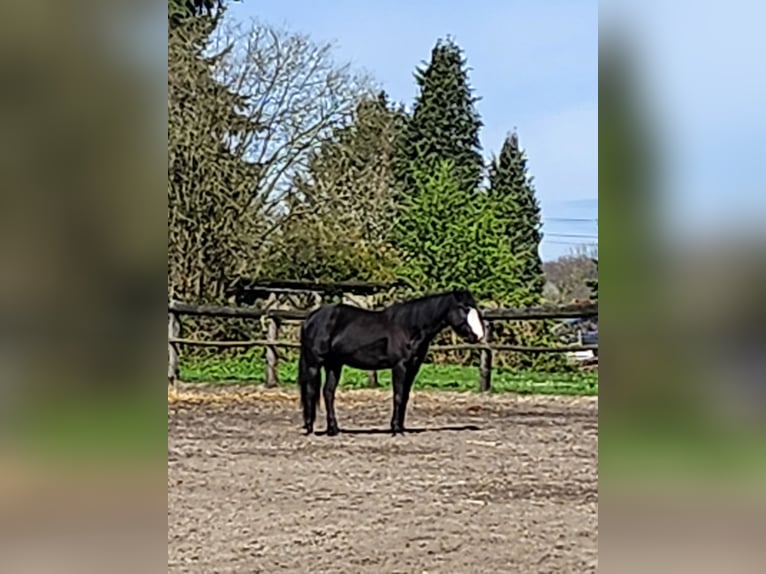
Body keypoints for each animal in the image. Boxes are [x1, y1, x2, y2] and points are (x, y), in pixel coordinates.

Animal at [297, 288, 486, 436]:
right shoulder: (400, 366)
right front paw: (395, 429)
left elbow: (405, 396)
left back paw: (333, 429)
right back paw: (310, 428)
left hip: (334, 365)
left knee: (328, 393)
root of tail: (310, 319)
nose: (478, 335)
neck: (410, 326)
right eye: (464, 308)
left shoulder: (413, 367)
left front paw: (400, 427)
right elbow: (398, 395)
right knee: (311, 391)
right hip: (315, 364)